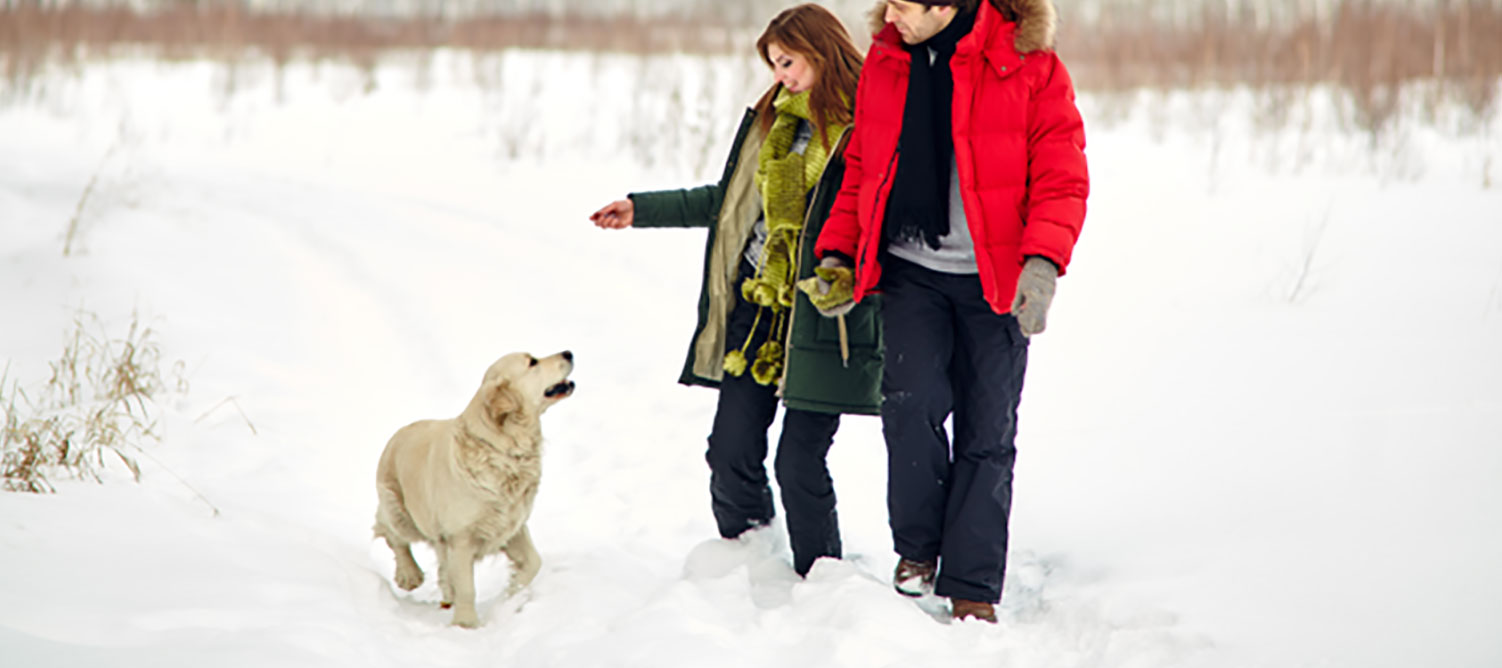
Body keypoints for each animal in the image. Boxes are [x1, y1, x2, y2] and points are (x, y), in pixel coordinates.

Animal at [373, 351, 575, 627]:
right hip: (401, 512)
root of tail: (398, 434)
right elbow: (467, 587)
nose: (569, 353)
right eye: (532, 362)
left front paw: (512, 593)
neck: (501, 446)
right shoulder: (461, 537)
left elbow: (534, 562)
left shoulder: (511, 525)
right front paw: (466, 624)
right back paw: (409, 574)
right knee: (391, 533)